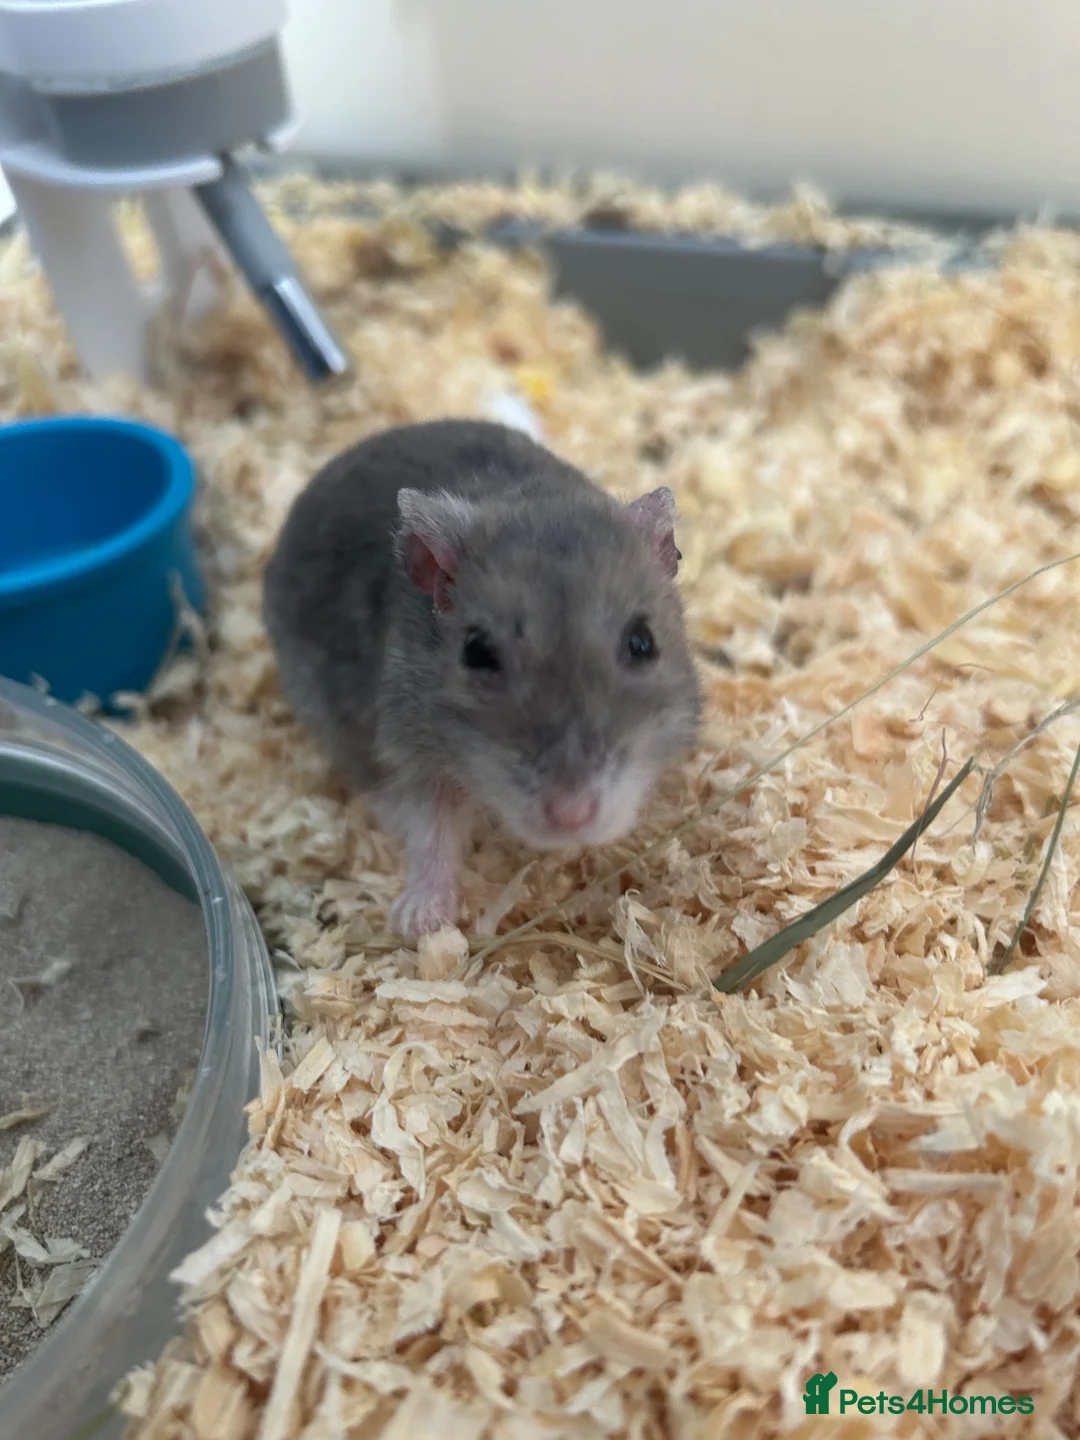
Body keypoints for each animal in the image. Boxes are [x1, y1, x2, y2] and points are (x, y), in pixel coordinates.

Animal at [262, 418, 702, 943]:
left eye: (642, 642)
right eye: (477, 651)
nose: (570, 817)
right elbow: (431, 828)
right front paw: (421, 923)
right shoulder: (416, 746)